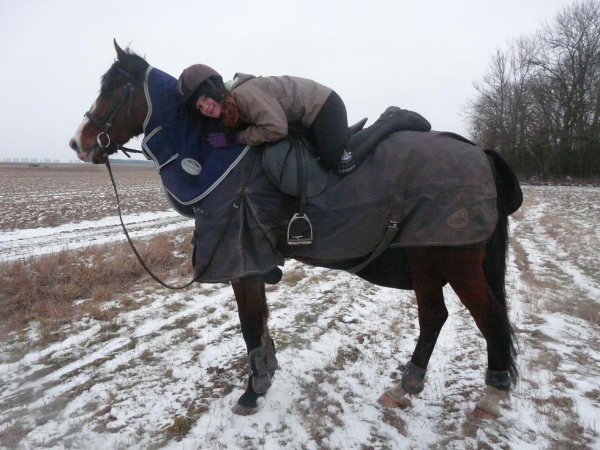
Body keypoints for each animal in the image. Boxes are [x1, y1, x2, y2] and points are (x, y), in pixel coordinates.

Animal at [69, 42, 520, 418]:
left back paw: (491, 395)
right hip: (425, 258)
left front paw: (253, 391)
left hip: (455, 261)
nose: (78, 143)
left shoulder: (241, 259)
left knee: (489, 317)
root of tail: (480, 152)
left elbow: (251, 324)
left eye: (114, 88)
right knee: (434, 317)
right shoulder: (252, 261)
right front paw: (265, 375)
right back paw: (405, 386)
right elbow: (262, 324)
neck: (218, 159)